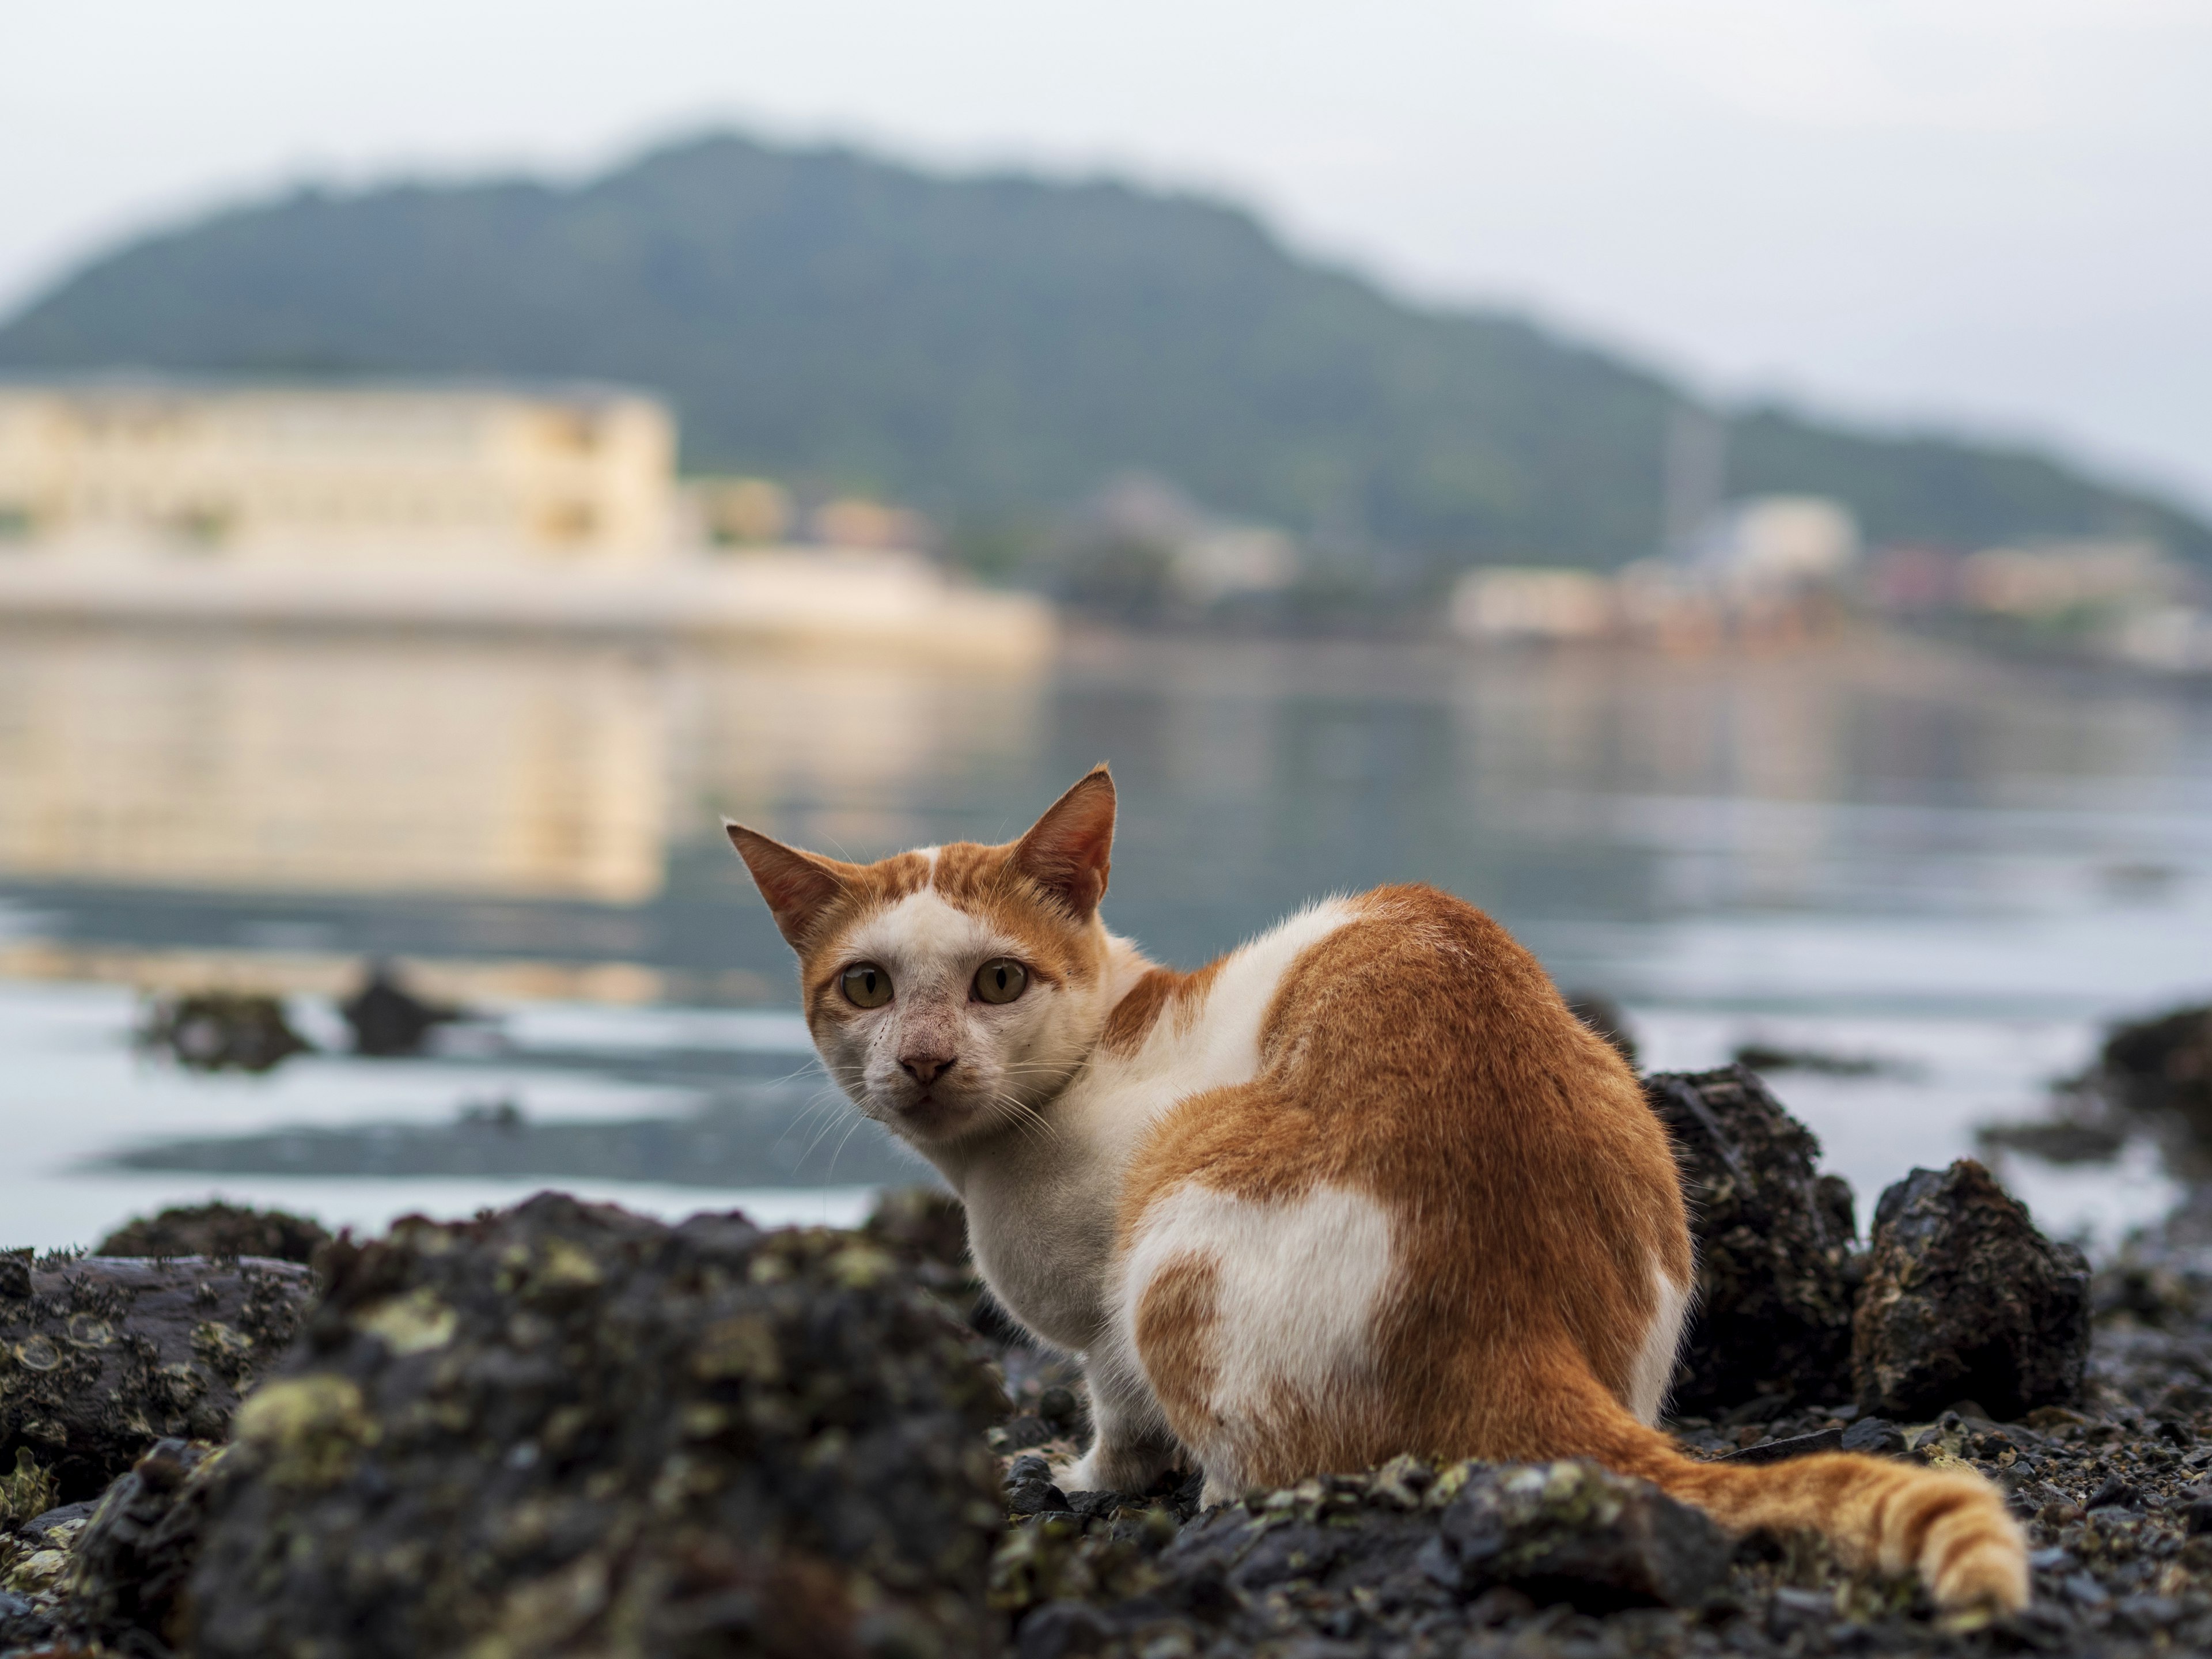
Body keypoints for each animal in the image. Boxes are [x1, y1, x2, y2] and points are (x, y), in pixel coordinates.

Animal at [725, 774, 2026, 1619]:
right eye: (867, 986)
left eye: (998, 982)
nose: (926, 1060)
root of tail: (1516, 1321)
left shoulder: (1101, 1323)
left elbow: (1118, 1414)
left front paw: (1088, 1478)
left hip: (1176, 1233)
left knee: (1261, 1461)